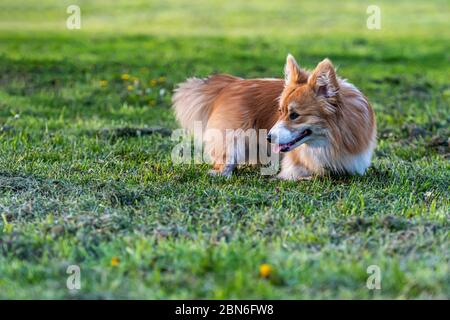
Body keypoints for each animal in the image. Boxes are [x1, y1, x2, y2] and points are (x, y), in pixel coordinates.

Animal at [172, 55, 376, 180]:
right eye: (280, 112)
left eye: (294, 115)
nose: (268, 137)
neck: (332, 139)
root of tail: (231, 83)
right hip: (233, 141)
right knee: (224, 163)